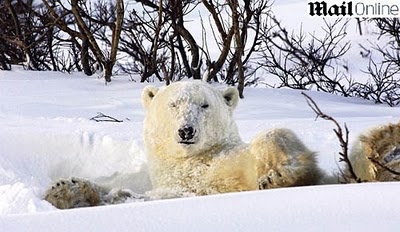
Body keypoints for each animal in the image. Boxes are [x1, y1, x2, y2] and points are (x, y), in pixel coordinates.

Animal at [44, 80, 324, 209]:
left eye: (204, 104)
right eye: (174, 104)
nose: (186, 130)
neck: (192, 162)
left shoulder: (228, 161)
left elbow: (274, 136)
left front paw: (280, 175)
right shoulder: (172, 180)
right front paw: (64, 189)